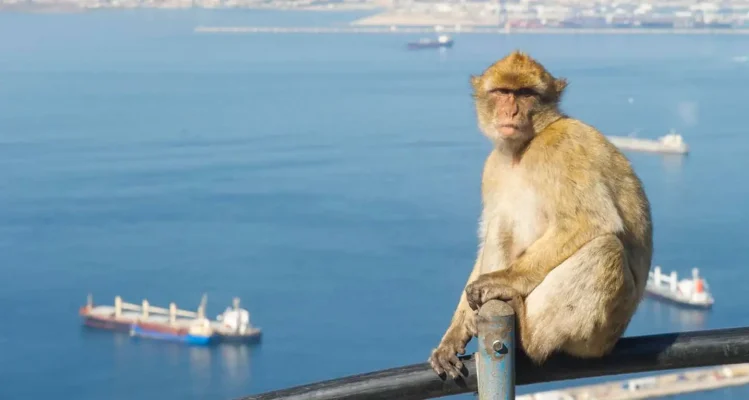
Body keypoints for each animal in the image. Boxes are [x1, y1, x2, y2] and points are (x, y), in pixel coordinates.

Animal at [428, 51, 653, 379]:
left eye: (525, 94)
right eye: (502, 92)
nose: (510, 111)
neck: (523, 148)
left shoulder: (561, 148)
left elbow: (592, 220)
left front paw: (503, 280)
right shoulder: (491, 169)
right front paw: (454, 335)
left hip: (600, 335)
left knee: (605, 249)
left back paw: (529, 337)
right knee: (500, 222)